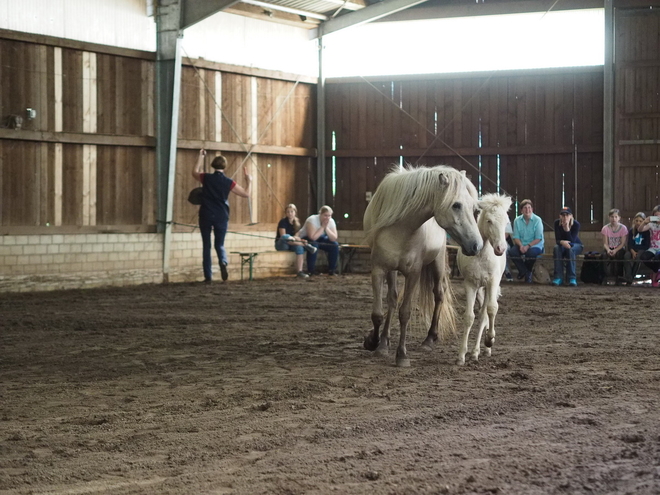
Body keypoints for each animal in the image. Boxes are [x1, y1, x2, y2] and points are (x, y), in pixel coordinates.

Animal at [364, 167, 482, 368]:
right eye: (456, 205)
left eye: (475, 209)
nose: (476, 245)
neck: (401, 228)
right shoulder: (379, 269)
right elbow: (378, 313)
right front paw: (374, 342)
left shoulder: (414, 273)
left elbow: (405, 312)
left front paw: (402, 355)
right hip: (393, 271)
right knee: (392, 299)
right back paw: (384, 341)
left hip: (437, 262)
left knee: (439, 294)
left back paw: (429, 339)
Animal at [456, 193, 512, 364]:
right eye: (489, 220)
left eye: (506, 221)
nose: (500, 249)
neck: (481, 256)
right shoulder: (470, 285)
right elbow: (469, 317)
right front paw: (461, 356)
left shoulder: (492, 282)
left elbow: (492, 309)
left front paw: (490, 340)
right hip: (481, 289)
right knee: (482, 314)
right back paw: (475, 352)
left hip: (487, 288)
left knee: (485, 315)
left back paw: (482, 350)